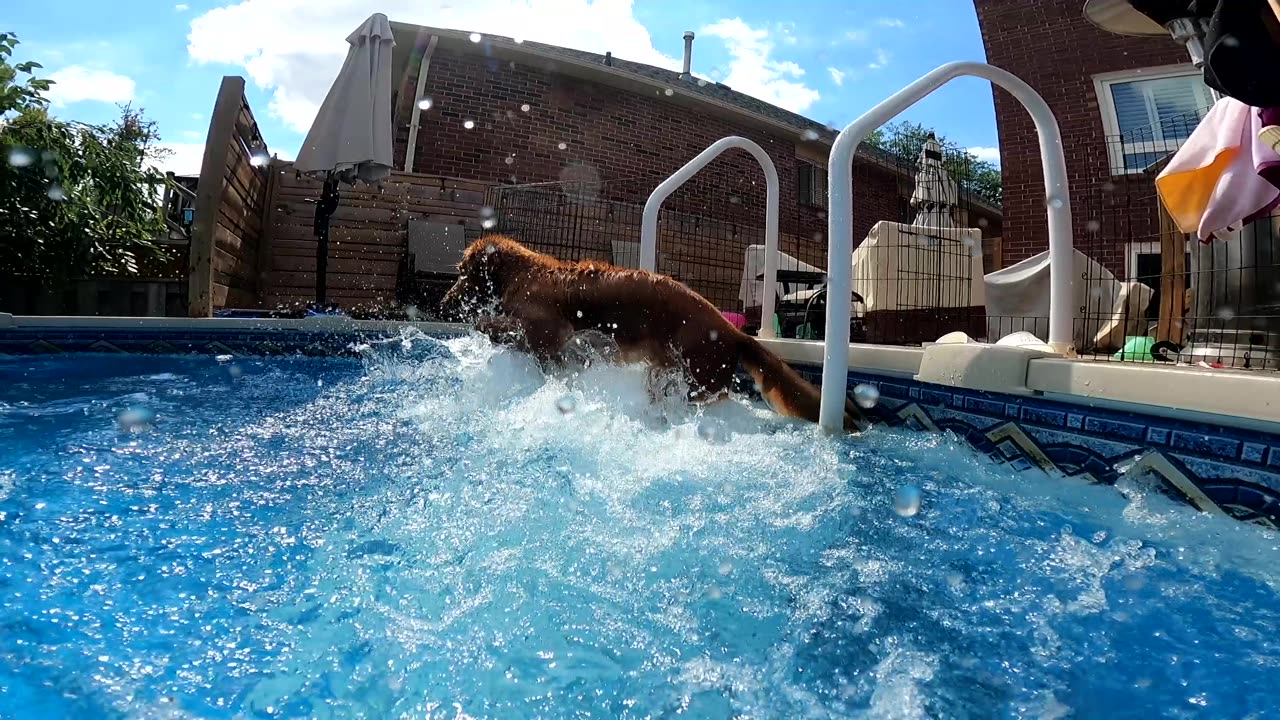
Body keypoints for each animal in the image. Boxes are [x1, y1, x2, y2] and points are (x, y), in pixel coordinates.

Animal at [440, 234, 870, 430]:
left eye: (461, 273)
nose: (443, 302)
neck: (523, 274)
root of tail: (735, 334)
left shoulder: (548, 332)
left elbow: (505, 329)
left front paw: (484, 327)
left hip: (699, 378)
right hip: (666, 372)